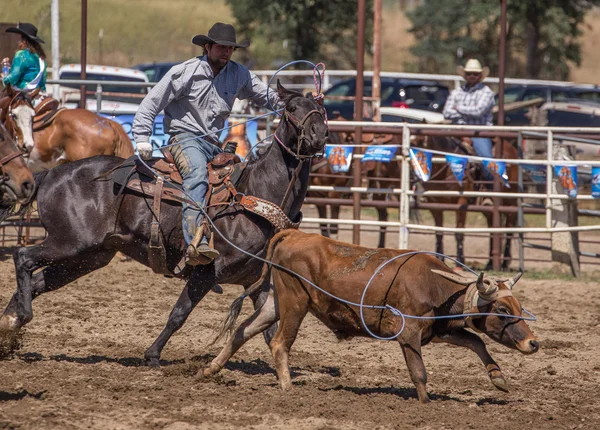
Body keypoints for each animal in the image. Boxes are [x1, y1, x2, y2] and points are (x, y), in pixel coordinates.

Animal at [0, 82, 328, 364]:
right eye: (292, 108)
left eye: (321, 109)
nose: (319, 134)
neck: (255, 196)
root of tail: (48, 175)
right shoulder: (206, 272)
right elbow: (179, 314)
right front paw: (153, 354)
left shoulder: (255, 281)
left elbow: (266, 329)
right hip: (69, 242)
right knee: (23, 257)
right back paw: (20, 316)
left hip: (89, 256)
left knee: (37, 280)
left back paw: (9, 325)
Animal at [207, 230, 540, 402]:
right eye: (502, 310)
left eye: (519, 307)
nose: (534, 344)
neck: (434, 285)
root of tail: (294, 234)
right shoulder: (409, 333)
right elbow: (419, 372)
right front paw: (426, 404)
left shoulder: (440, 330)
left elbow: (476, 341)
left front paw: (499, 378)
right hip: (294, 302)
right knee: (279, 342)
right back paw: (287, 387)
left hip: (275, 303)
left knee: (243, 330)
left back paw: (210, 370)